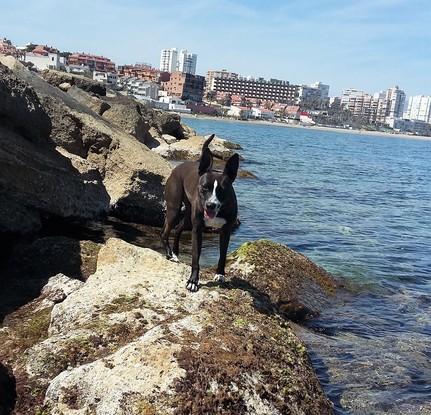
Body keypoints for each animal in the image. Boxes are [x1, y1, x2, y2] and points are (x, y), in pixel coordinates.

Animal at [161, 135, 240, 290]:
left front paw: (220, 274)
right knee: (165, 233)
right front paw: (193, 281)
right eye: (204, 187)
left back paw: (175, 253)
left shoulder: (226, 231)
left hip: (187, 217)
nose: (210, 205)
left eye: (222, 190)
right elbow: (195, 257)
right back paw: (169, 253)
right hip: (174, 209)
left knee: (178, 229)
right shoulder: (197, 230)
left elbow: (223, 255)